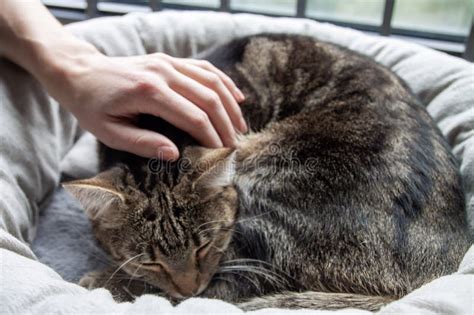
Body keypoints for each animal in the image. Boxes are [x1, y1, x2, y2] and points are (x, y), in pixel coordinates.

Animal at [63, 34, 470, 312]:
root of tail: (420, 283)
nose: (188, 289)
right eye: (148, 260)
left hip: (273, 186)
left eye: (205, 246)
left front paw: (111, 280)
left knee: (234, 288)